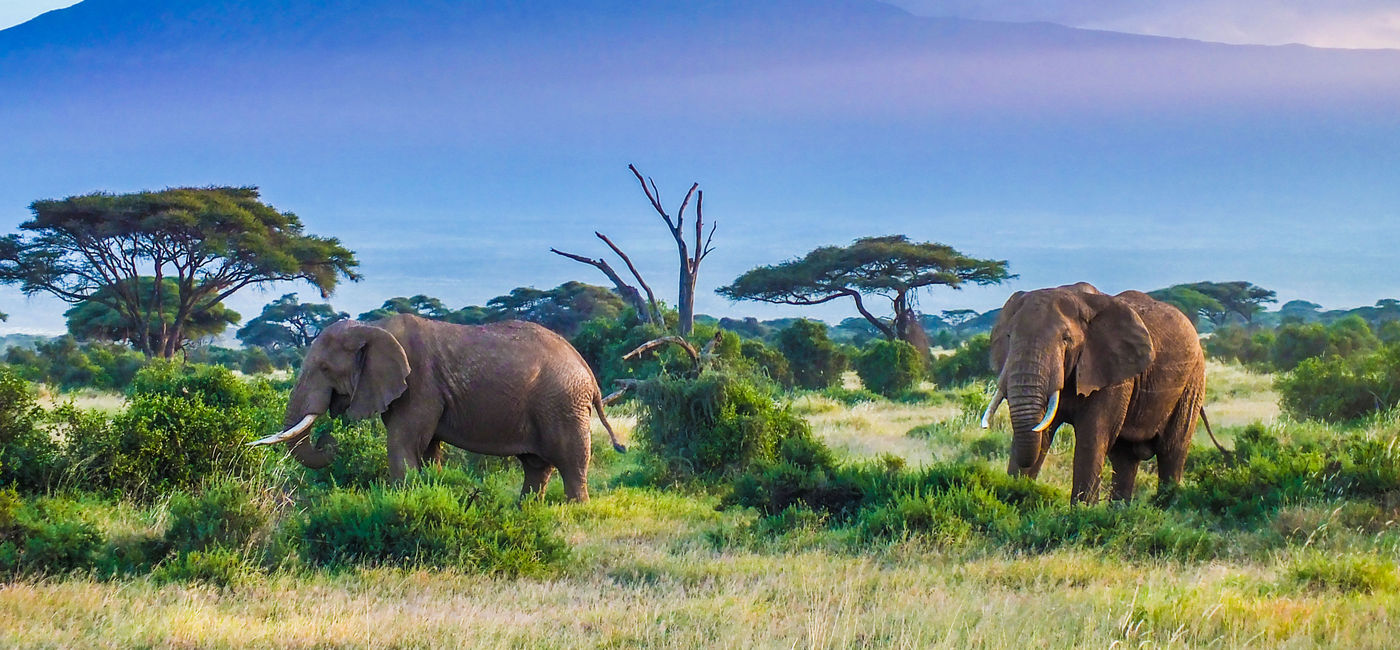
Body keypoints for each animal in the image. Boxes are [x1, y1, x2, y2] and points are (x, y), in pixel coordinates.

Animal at [248, 314, 625, 501]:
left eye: (325, 368)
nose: (329, 441)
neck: (374, 328)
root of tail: (588, 372)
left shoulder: (419, 383)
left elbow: (404, 443)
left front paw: (401, 502)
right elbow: (427, 448)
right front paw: (429, 491)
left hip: (562, 403)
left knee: (571, 460)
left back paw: (575, 509)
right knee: (536, 465)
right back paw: (526, 509)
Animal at [981, 282, 1206, 503]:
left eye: (1066, 339)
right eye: (1009, 336)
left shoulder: (1112, 372)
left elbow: (1092, 437)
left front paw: (1081, 511)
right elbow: (1041, 432)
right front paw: (1015, 498)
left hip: (1193, 380)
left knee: (1172, 450)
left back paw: (1165, 505)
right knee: (1125, 457)